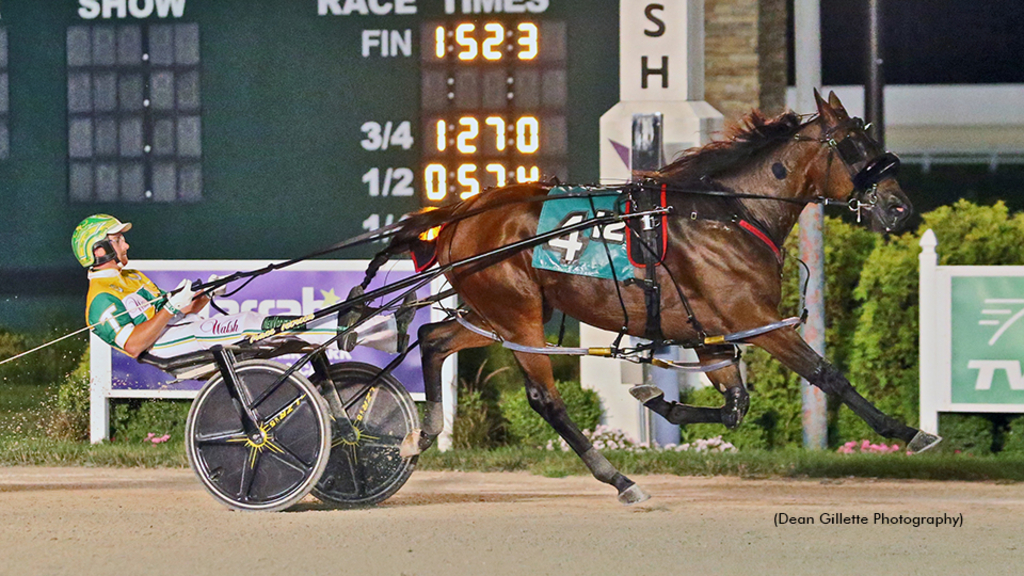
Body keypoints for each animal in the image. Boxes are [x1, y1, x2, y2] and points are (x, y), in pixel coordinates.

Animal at [364, 90, 937, 502]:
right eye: (854, 146)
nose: (900, 208)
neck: (728, 213)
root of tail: (462, 210)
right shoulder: (755, 320)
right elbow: (827, 376)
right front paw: (910, 432)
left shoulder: (711, 334)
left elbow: (735, 405)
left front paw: (657, 399)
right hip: (517, 313)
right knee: (545, 398)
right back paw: (619, 479)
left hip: (495, 312)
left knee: (433, 338)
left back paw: (421, 435)